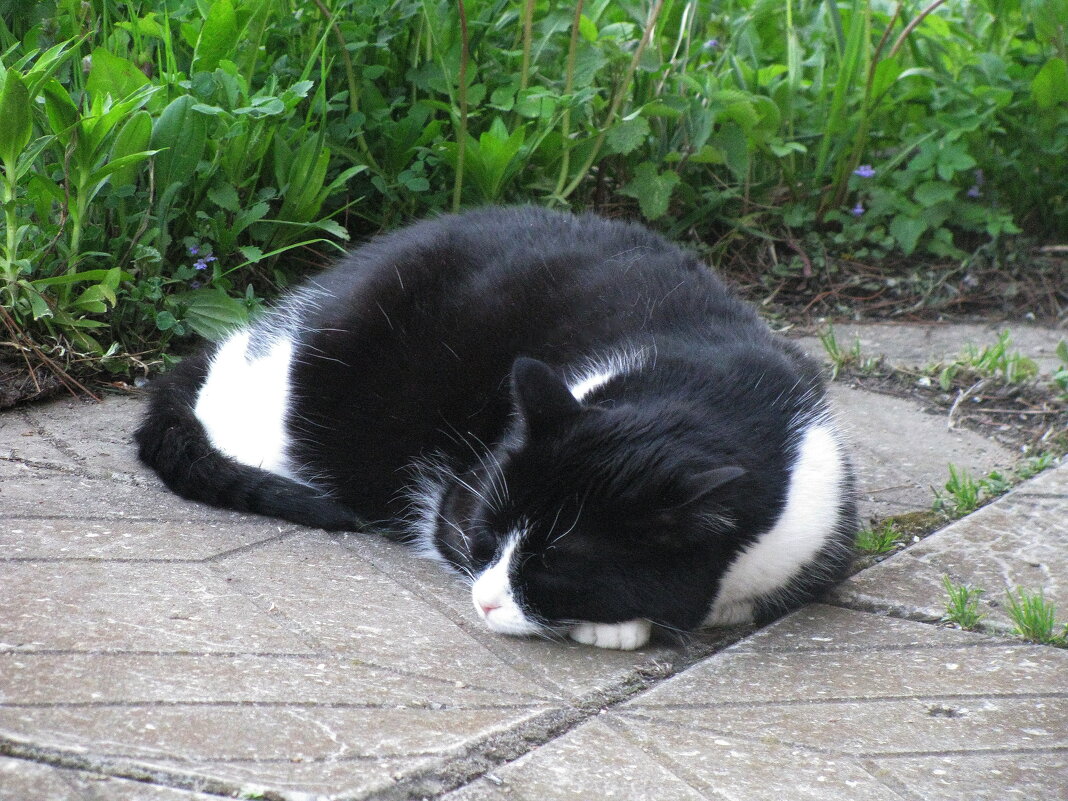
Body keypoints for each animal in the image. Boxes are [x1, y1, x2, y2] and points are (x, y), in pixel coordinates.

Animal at [133, 203, 854, 649]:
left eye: (556, 562)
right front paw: (618, 626)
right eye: (489, 530)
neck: (703, 393)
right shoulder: (459, 499)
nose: (483, 601)